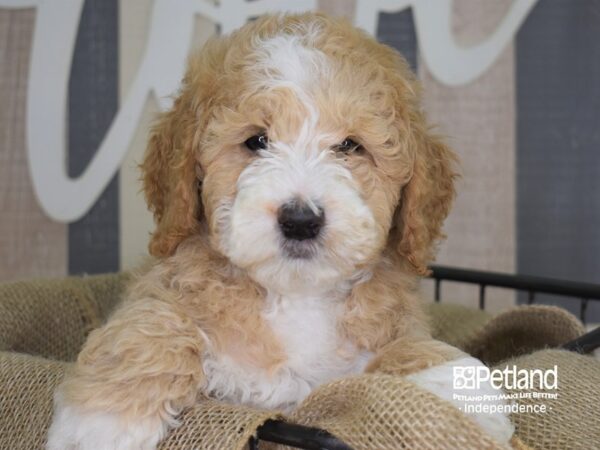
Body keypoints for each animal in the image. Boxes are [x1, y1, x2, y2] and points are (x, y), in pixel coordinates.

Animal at [48, 12, 516, 448]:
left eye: (350, 146)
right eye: (256, 141)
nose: (301, 220)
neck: (296, 294)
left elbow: (403, 347)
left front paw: (456, 394)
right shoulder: (166, 286)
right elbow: (153, 323)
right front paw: (99, 425)